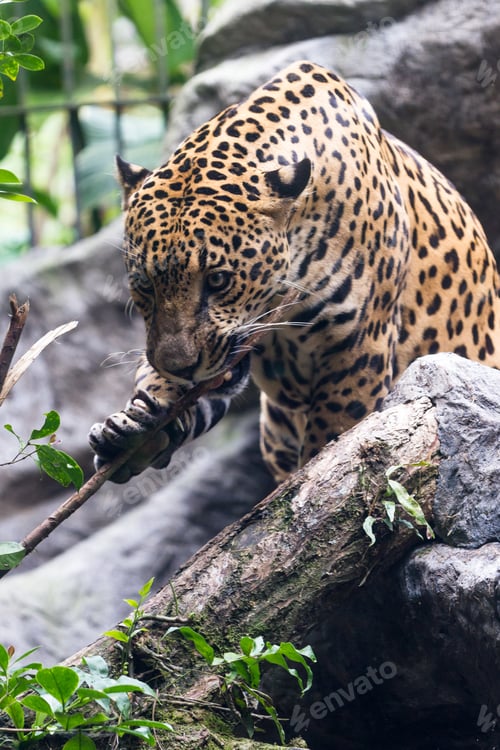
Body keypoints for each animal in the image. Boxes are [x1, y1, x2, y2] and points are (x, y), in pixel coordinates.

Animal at [89, 60, 500, 485]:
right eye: (144, 286)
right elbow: (161, 381)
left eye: (218, 280)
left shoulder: (359, 348)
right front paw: (136, 428)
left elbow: (333, 440)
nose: (181, 368)